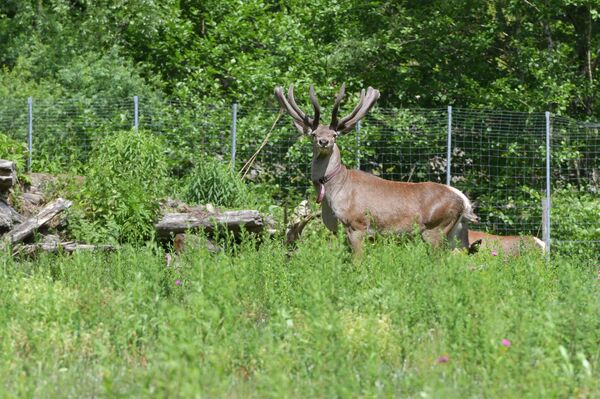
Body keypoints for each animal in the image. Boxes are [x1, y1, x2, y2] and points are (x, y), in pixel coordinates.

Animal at [276, 83, 478, 256]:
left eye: (334, 134)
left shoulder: (357, 224)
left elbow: (357, 261)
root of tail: (464, 201)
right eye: (314, 134)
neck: (336, 193)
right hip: (457, 234)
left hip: (435, 228)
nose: (323, 141)